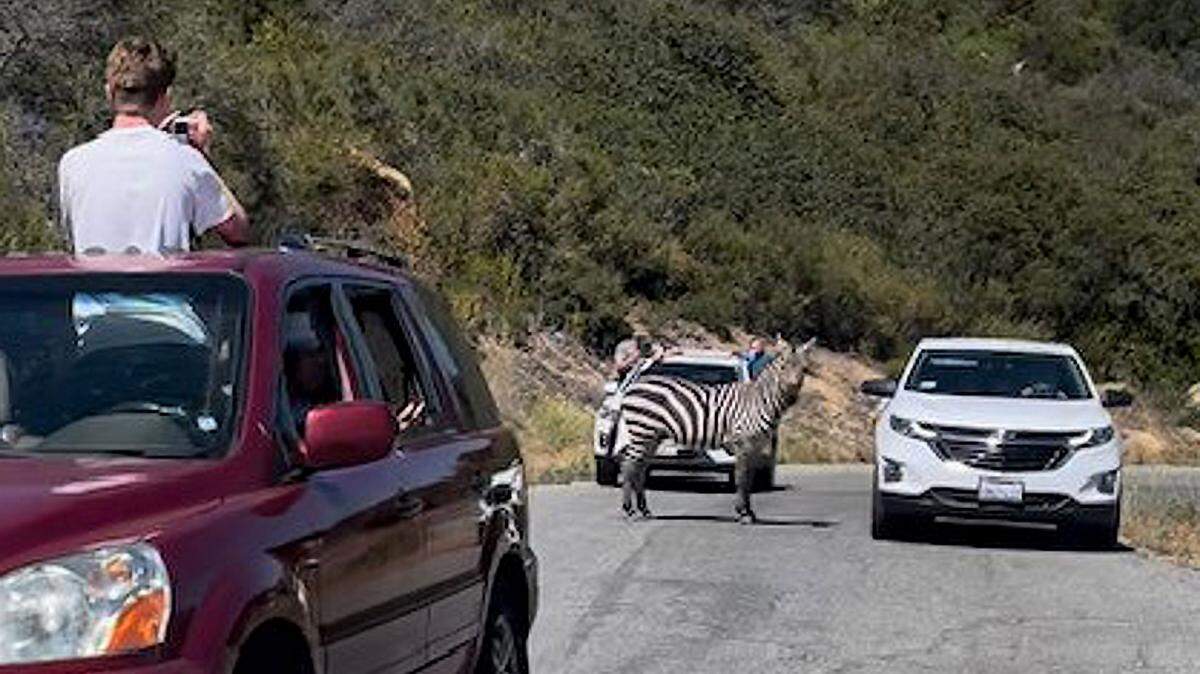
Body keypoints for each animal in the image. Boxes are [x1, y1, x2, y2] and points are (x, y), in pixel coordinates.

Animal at [614, 338, 816, 524]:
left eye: (804, 369)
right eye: (783, 367)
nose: (792, 398)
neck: (759, 401)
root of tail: (635, 385)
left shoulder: (756, 446)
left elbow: (750, 480)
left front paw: (749, 512)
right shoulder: (742, 442)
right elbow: (742, 479)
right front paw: (743, 513)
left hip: (652, 435)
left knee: (640, 467)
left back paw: (644, 510)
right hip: (642, 429)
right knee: (628, 465)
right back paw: (629, 510)